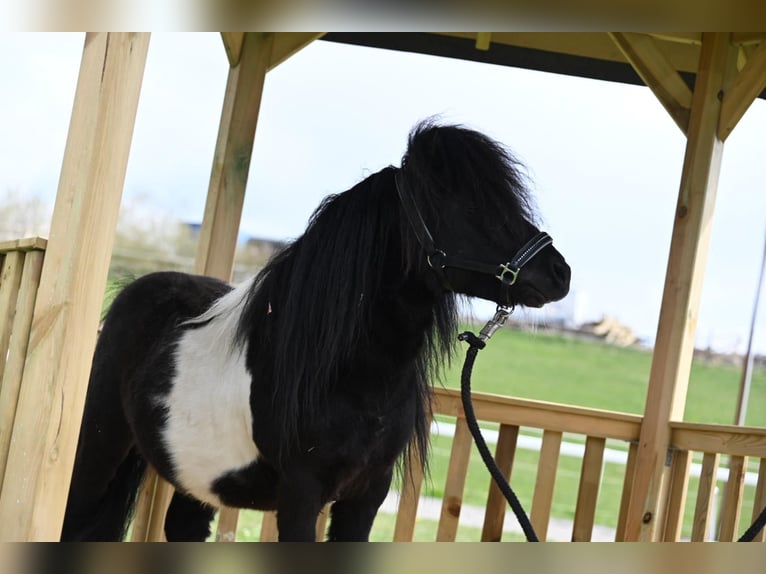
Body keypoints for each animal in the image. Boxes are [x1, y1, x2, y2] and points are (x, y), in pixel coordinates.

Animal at [63, 119, 568, 544]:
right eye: (469, 205)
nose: (558, 273)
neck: (346, 373)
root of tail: (135, 290)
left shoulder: (366, 495)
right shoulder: (301, 496)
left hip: (198, 475)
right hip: (98, 449)